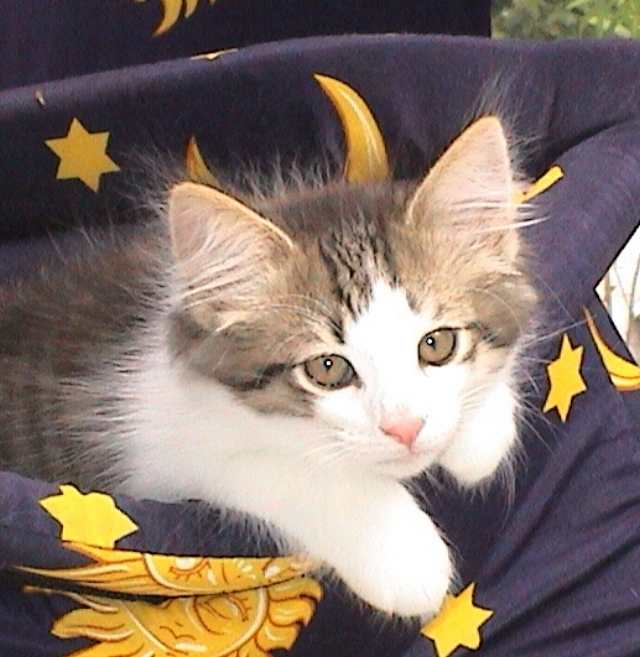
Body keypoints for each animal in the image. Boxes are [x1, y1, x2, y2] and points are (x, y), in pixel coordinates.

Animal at [0, 116, 537, 618]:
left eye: (437, 345)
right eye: (327, 368)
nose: (405, 429)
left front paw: (480, 431)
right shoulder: (163, 453)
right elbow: (296, 471)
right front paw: (403, 554)